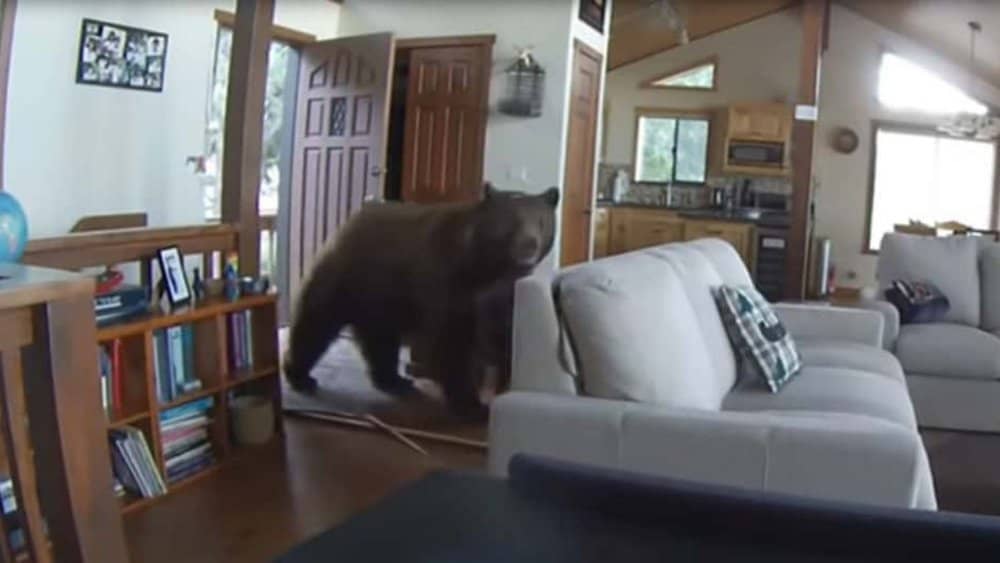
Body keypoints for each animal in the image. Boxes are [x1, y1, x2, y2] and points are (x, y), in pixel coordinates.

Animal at [283, 184, 559, 420]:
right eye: (510, 222)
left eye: (541, 221)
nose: (529, 245)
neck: (487, 268)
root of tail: (351, 220)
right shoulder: (448, 281)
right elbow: (453, 341)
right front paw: (471, 405)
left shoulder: (506, 293)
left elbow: (506, 334)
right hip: (348, 277)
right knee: (315, 322)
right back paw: (300, 376)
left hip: (382, 299)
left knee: (380, 339)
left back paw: (394, 381)